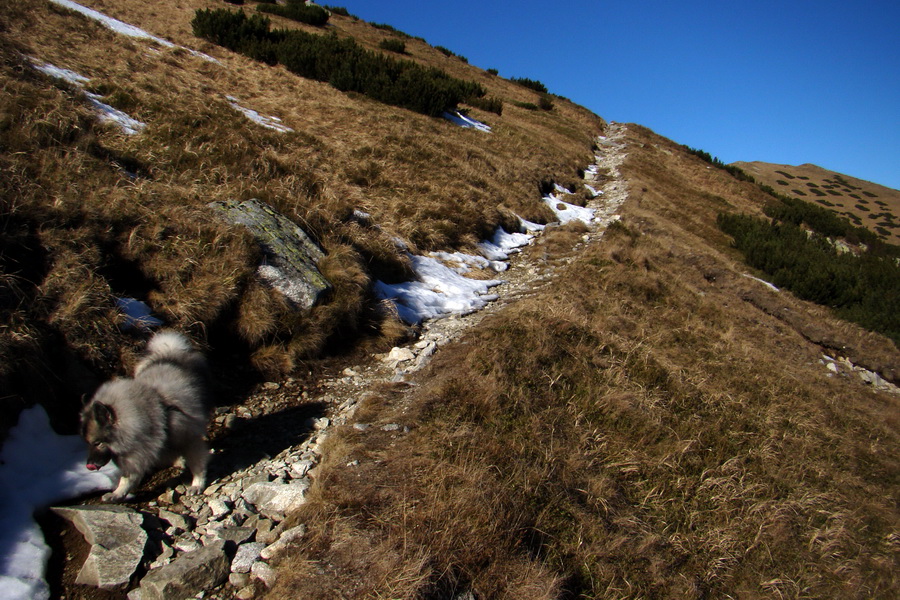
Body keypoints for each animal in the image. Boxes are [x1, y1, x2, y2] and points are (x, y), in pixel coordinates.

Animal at [79, 330, 213, 504]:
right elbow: (128, 478)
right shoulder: (142, 450)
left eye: (97, 443)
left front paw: (197, 484)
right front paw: (118, 493)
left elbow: (197, 464)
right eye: (88, 443)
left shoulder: (188, 439)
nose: (89, 465)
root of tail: (169, 352)